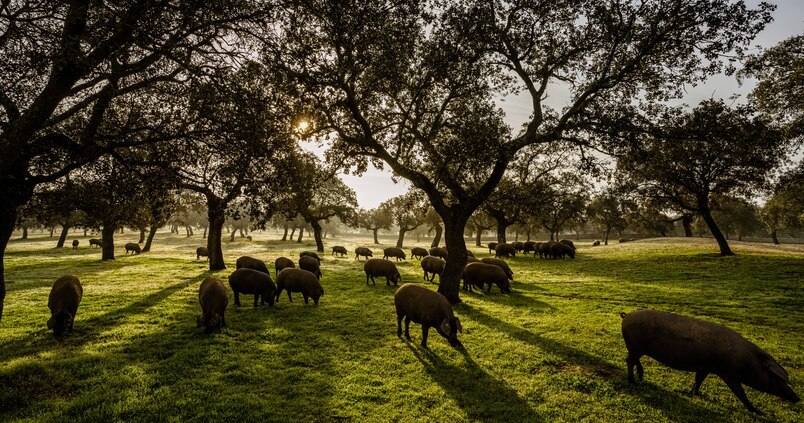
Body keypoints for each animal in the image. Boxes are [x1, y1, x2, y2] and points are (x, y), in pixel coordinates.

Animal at [620, 310, 796, 416]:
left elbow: (698, 380)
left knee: (633, 360)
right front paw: (759, 412)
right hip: (635, 346)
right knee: (629, 360)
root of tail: (626, 316)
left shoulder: (705, 367)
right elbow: (741, 394)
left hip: (637, 348)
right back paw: (632, 381)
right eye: (775, 377)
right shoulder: (729, 374)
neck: (747, 361)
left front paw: (694, 394)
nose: (797, 397)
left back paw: (640, 378)